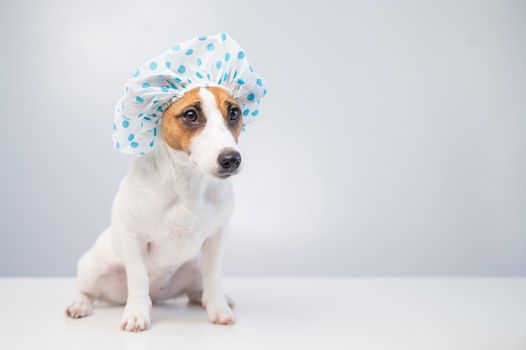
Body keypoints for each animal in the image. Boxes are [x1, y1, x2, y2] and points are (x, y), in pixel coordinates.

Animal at [66, 87, 245, 330]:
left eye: (234, 112)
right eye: (190, 114)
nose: (231, 159)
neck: (186, 183)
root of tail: (159, 294)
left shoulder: (217, 238)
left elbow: (214, 278)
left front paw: (219, 308)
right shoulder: (133, 238)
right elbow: (138, 279)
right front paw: (136, 314)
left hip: (194, 267)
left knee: (197, 290)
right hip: (91, 268)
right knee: (87, 291)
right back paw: (79, 304)